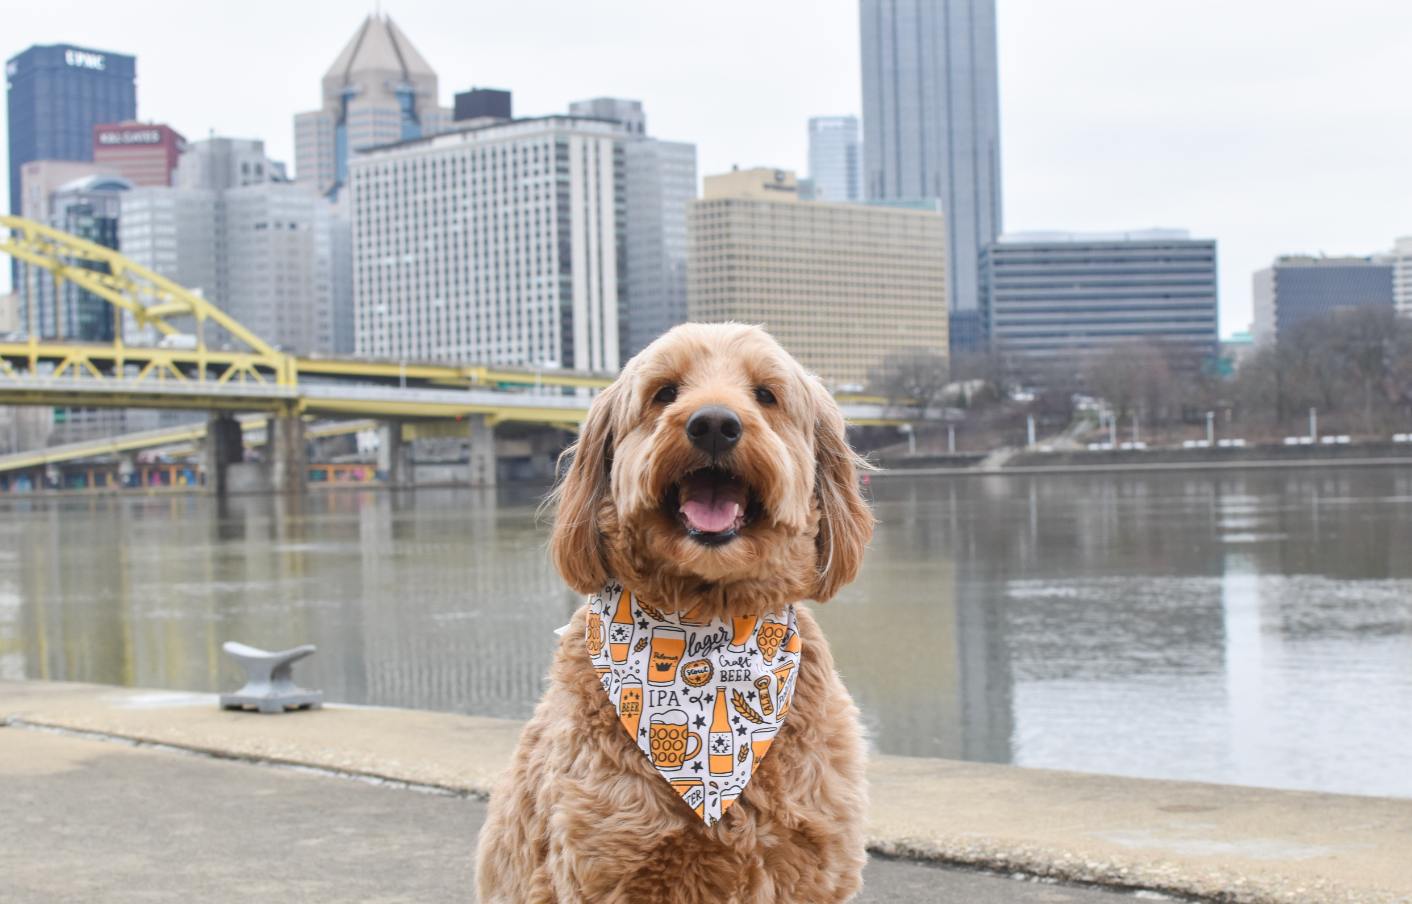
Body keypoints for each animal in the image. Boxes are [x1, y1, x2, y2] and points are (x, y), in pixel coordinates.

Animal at [480, 324, 875, 904]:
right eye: (664, 392)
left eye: (766, 394)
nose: (713, 423)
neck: (707, 620)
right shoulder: (604, 865)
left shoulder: (814, 861)